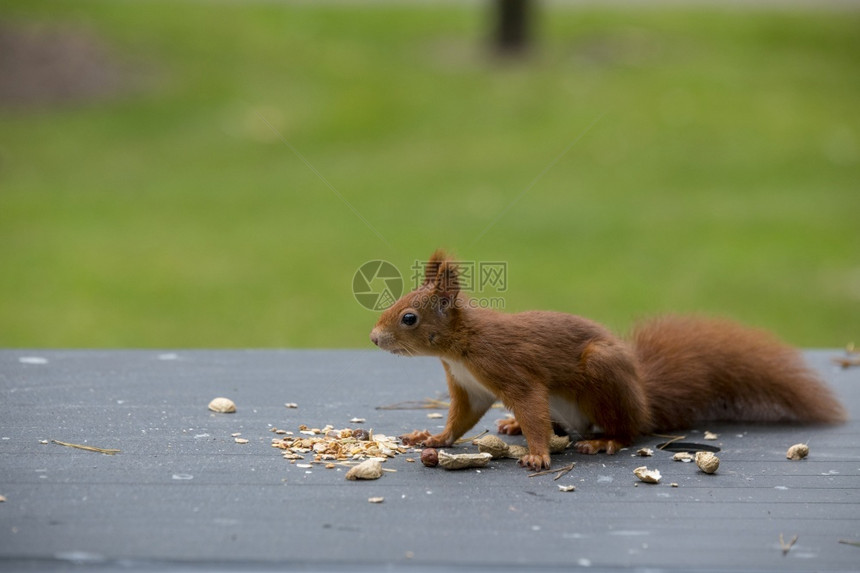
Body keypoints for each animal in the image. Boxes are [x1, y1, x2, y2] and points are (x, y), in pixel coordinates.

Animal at [370, 250, 848, 470]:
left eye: (409, 318)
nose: (374, 338)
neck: (460, 347)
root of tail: (645, 400)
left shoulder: (510, 369)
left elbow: (530, 405)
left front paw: (538, 455)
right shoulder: (470, 386)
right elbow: (461, 419)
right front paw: (432, 437)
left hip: (605, 376)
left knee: (629, 431)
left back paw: (604, 441)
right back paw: (511, 426)